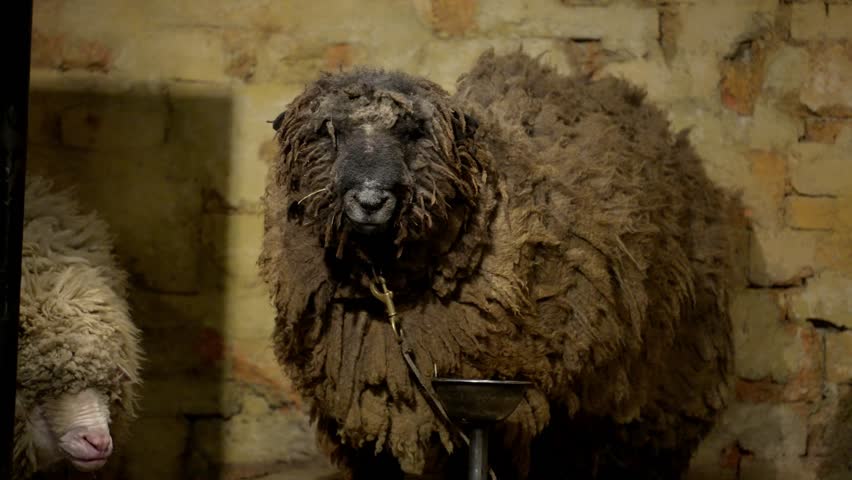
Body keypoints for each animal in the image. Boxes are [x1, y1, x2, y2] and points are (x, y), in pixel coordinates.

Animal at [258, 50, 738, 479]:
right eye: (328, 132)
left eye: (413, 132)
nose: (371, 200)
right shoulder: (366, 408)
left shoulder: (506, 405)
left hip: (657, 388)